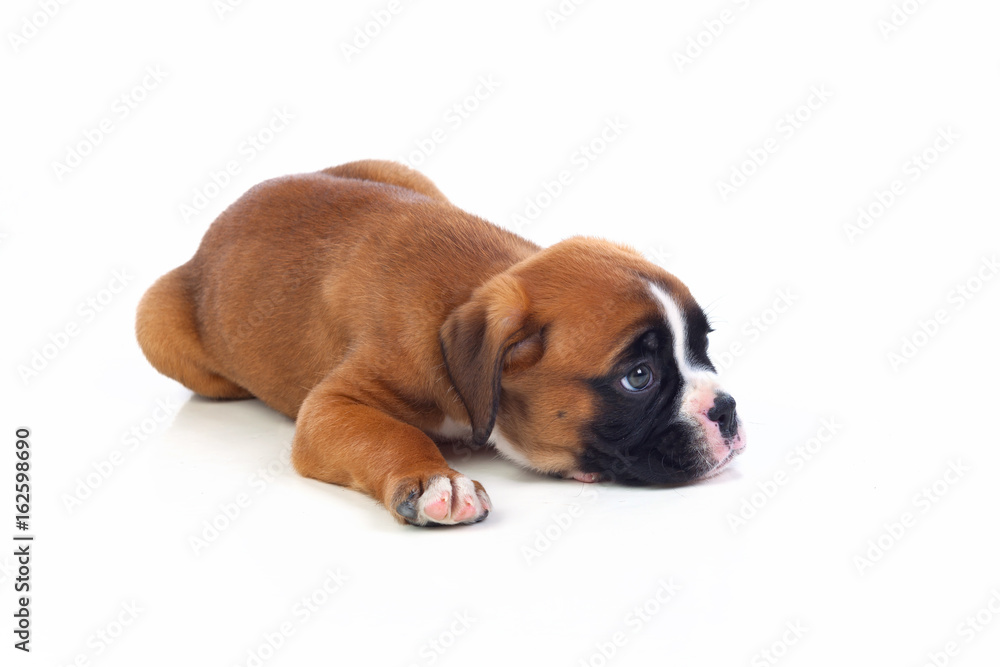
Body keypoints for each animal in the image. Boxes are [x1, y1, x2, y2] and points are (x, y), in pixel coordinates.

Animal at [137, 160, 748, 528]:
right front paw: (436, 479)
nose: (726, 410)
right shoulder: (330, 408)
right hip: (156, 327)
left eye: (703, 345)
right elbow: (388, 434)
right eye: (638, 377)